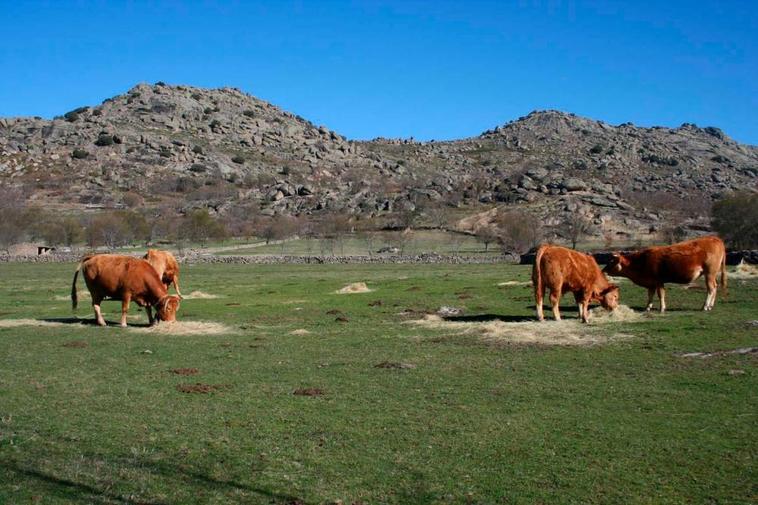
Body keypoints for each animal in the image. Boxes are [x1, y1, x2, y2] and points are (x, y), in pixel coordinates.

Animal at [604, 235, 732, 312]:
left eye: (611, 262)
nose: (603, 270)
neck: (642, 260)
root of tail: (715, 238)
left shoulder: (659, 281)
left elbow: (661, 295)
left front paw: (662, 308)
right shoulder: (651, 283)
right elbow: (650, 295)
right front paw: (647, 307)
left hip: (709, 273)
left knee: (711, 289)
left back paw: (705, 306)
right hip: (711, 274)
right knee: (715, 287)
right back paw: (710, 306)